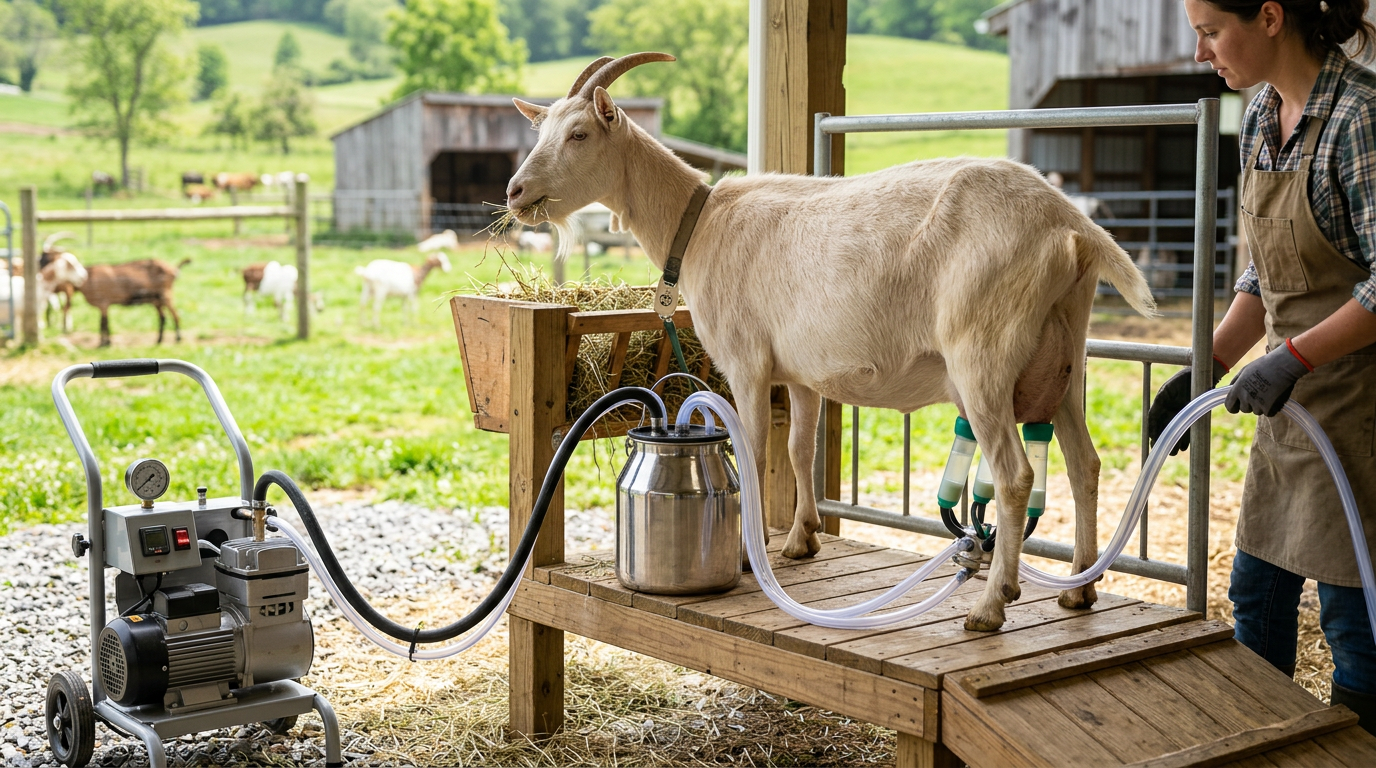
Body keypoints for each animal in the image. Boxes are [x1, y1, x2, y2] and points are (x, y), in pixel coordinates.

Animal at [504, 54, 1157, 632]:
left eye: (579, 133)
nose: (514, 192)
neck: (701, 223)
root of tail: (1073, 228)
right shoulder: (799, 372)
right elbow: (799, 451)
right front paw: (802, 540)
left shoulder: (746, 360)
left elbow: (755, 452)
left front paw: (748, 556)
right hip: (1067, 357)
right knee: (1085, 463)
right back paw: (1079, 590)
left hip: (985, 354)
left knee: (1017, 474)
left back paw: (991, 605)